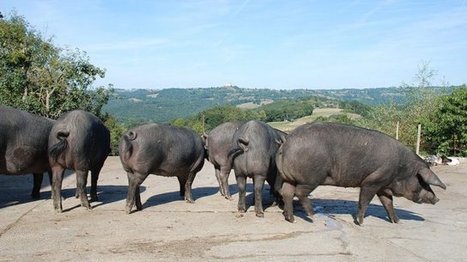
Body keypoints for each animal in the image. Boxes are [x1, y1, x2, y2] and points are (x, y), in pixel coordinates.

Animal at [276, 122, 448, 224]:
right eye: (422, 182)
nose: (437, 199)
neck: (401, 170)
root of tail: (287, 141)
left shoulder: (383, 186)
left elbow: (388, 203)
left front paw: (397, 222)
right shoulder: (372, 181)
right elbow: (364, 201)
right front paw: (360, 222)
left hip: (289, 178)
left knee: (287, 192)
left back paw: (291, 219)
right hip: (311, 177)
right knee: (299, 192)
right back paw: (312, 216)